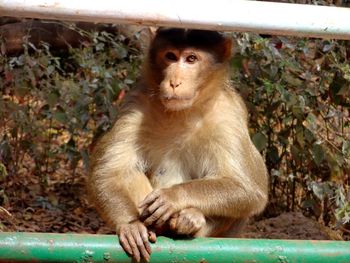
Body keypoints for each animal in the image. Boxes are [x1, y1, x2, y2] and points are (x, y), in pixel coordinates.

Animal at [89, 27, 268, 262]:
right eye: (170, 56)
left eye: (191, 59)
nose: (174, 82)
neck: (182, 112)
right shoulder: (136, 103)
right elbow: (108, 173)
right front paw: (130, 224)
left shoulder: (229, 113)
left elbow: (249, 188)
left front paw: (172, 197)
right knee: (127, 171)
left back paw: (190, 220)